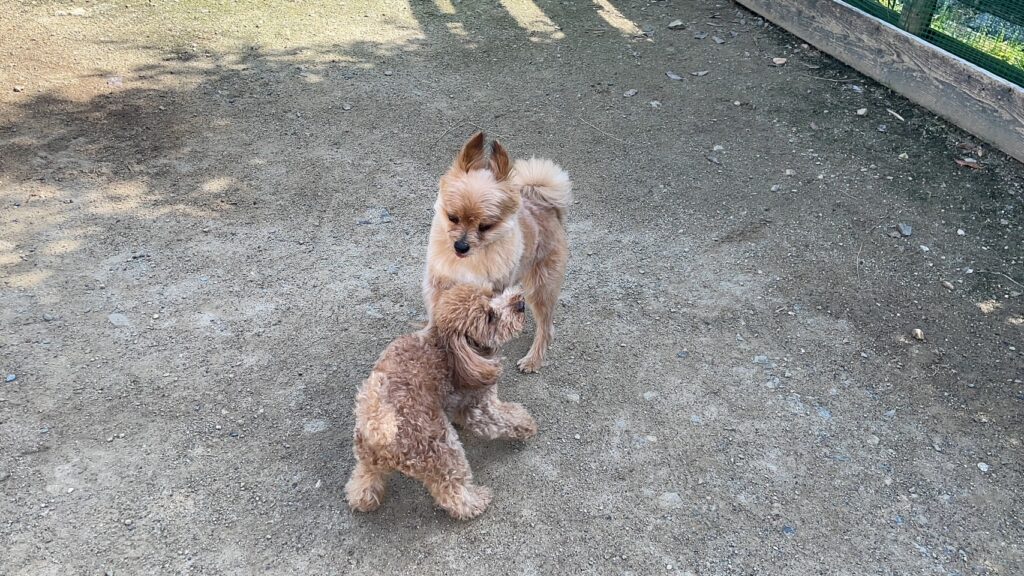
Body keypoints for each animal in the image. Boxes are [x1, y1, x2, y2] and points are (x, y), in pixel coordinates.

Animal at [345, 284, 537, 520]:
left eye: (492, 293)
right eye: (490, 317)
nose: (520, 304)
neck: (449, 346)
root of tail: (380, 423)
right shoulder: (480, 408)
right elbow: (506, 418)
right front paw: (527, 425)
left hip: (367, 458)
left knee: (364, 480)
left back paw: (364, 498)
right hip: (442, 448)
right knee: (453, 492)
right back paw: (476, 501)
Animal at [423, 132, 572, 373]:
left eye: (485, 226)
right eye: (452, 217)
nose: (460, 246)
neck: (471, 259)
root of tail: (548, 208)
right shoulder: (440, 288)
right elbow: (436, 320)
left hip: (540, 289)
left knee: (546, 328)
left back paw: (533, 359)